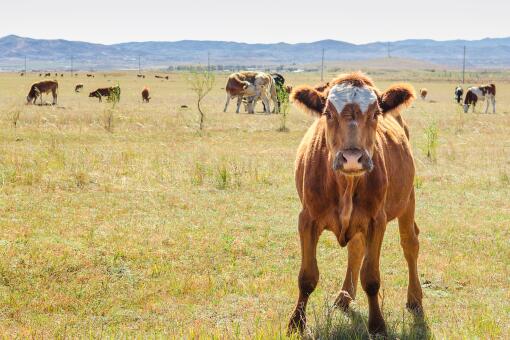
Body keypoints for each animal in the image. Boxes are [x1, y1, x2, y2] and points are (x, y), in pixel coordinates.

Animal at [286, 71, 422, 334]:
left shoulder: (376, 220)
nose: (352, 158)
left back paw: (415, 299)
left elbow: (371, 277)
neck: (345, 185)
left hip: (407, 199)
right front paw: (296, 322)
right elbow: (306, 276)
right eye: (328, 113)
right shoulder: (306, 219)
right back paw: (344, 296)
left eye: (375, 113)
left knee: (410, 244)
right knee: (356, 249)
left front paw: (377, 324)